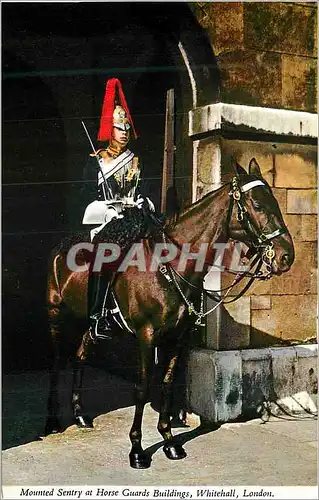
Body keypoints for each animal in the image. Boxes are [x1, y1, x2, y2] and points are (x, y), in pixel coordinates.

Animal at [44, 159, 296, 468]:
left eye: (275, 201)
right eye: (257, 204)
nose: (286, 256)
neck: (171, 265)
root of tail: (61, 247)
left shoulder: (178, 337)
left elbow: (166, 383)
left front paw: (168, 440)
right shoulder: (146, 336)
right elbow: (142, 388)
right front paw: (137, 449)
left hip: (89, 325)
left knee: (80, 355)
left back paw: (80, 414)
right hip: (57, 315)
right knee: (57, 361)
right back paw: (53, 421)